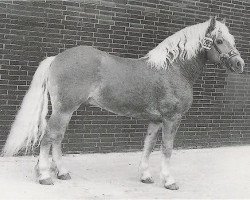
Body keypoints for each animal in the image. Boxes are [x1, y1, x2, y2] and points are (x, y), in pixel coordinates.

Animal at [1, 16, 244, 189]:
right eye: (219, 41)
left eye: (232, 40)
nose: (239, 64)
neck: (173, 70)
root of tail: (56, 58)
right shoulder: (171, 119)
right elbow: (167, 149)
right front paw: (169, 180)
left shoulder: (156, 120)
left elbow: (148, 146)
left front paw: (146, 176)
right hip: (64, 110)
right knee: (49, 137)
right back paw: (44, 176)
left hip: (66, 111)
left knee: (57, 138)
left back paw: (62, 172)